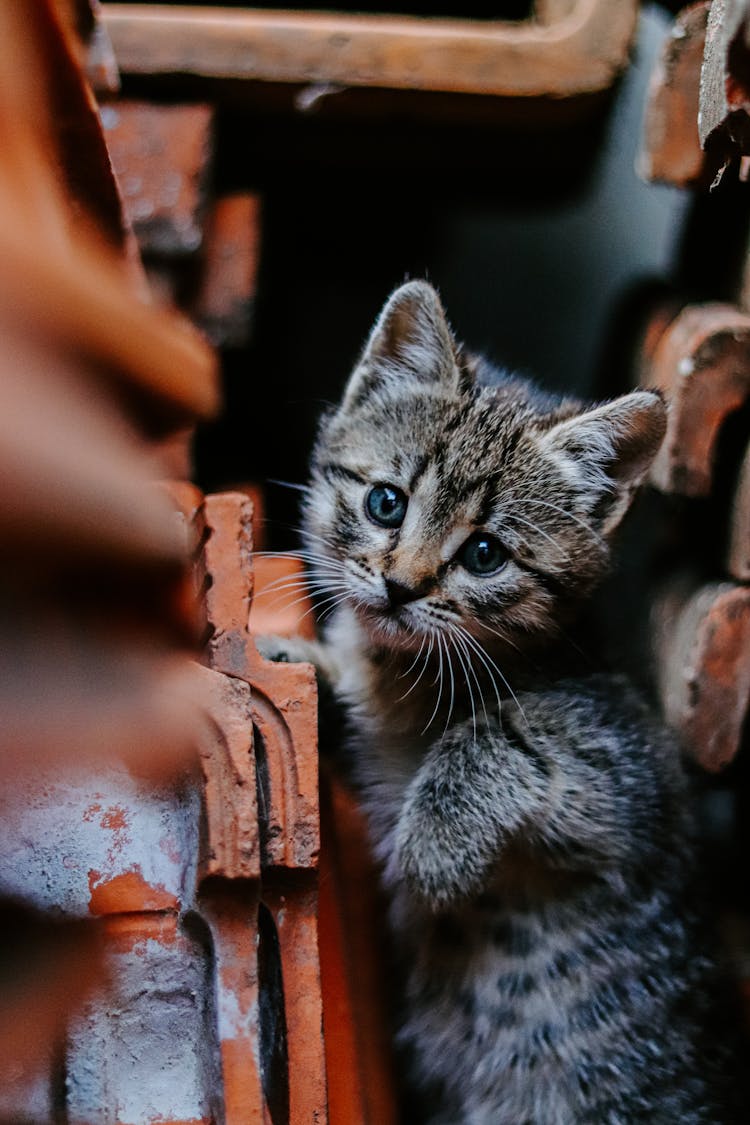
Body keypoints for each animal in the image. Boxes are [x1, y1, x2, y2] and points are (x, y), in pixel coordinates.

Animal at [260, 283, 742, 1125]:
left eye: (484, 553)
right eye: (386, 503)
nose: (400, 588)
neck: (413, 679)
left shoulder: (630, 769)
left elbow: (508, 727)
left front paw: (432, 845)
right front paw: (302, 663)